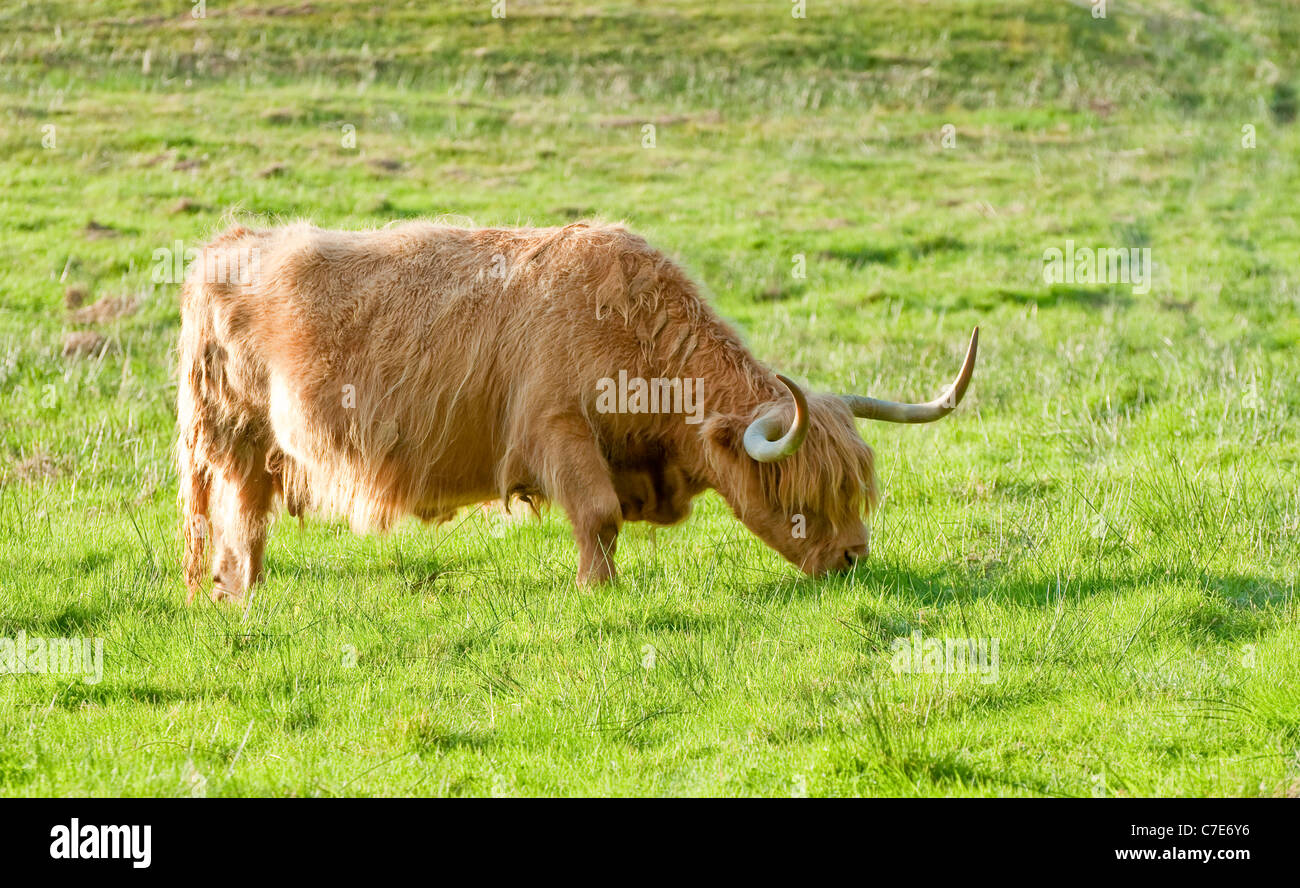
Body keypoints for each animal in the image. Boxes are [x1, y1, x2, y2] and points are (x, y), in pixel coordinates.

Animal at [177, 221, 977, 602]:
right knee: (242, 519)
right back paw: (242, 594)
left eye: (855, 487)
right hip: (233, 435)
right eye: (797, 488)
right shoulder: (557, 431)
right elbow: (599, 516)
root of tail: (224, 247)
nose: (853, 558)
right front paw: (601, 590)